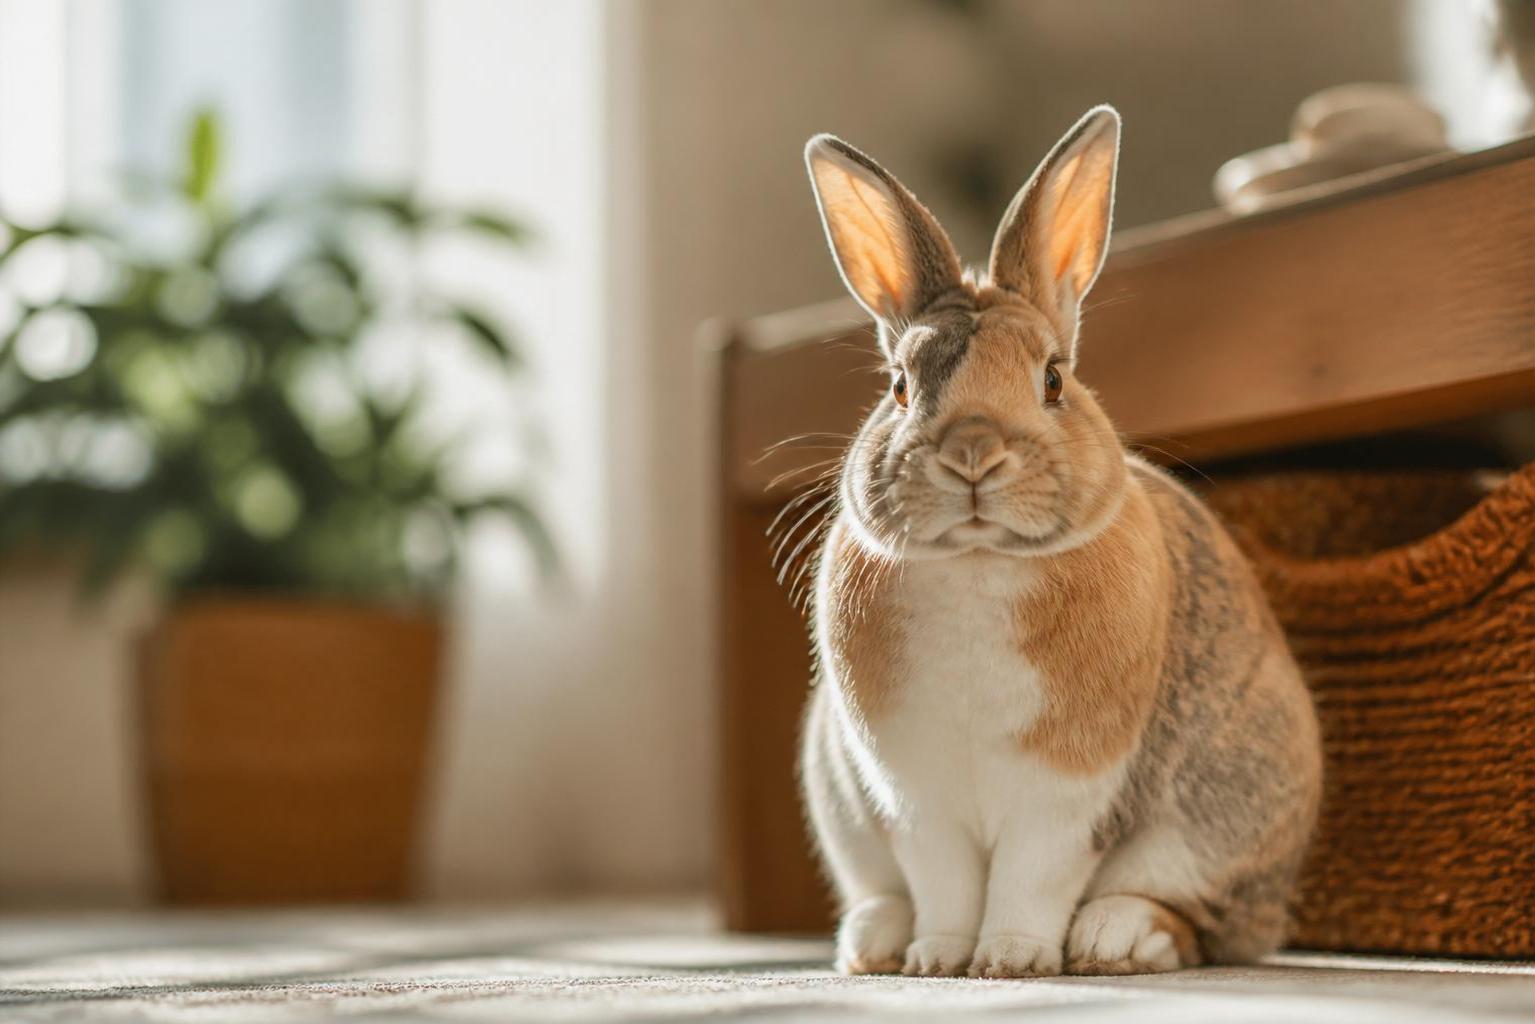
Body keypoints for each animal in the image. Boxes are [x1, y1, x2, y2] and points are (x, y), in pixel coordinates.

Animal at [798, 106, 1322, 979]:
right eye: (898, 386)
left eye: (1052, 379)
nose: (973, 454)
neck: (979, 562)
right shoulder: (914, 797)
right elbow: (945, 885)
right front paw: (939, 962)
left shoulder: (1068, 799)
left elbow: (1029, 879)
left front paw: (1009, 961)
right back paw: (874, 943)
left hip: (1227, 809)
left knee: (1204, 925)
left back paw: (1116, 939)